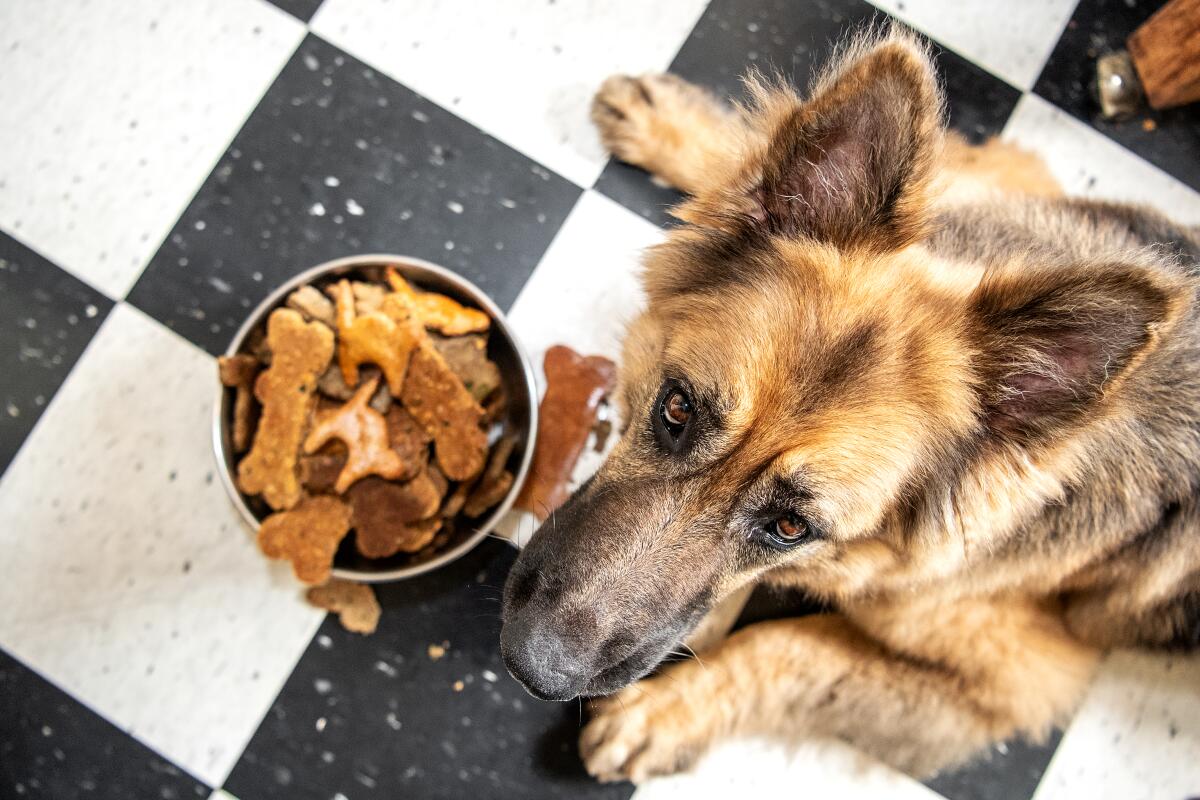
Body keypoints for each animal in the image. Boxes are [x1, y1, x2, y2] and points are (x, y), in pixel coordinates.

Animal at [496, 25, 1200, 782]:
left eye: (790, 527)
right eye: (677, 409)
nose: (536, 667)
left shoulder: (1011, 680)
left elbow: (789, 648)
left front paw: (659, 714)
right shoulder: (1023, 185)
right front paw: (680, 129)